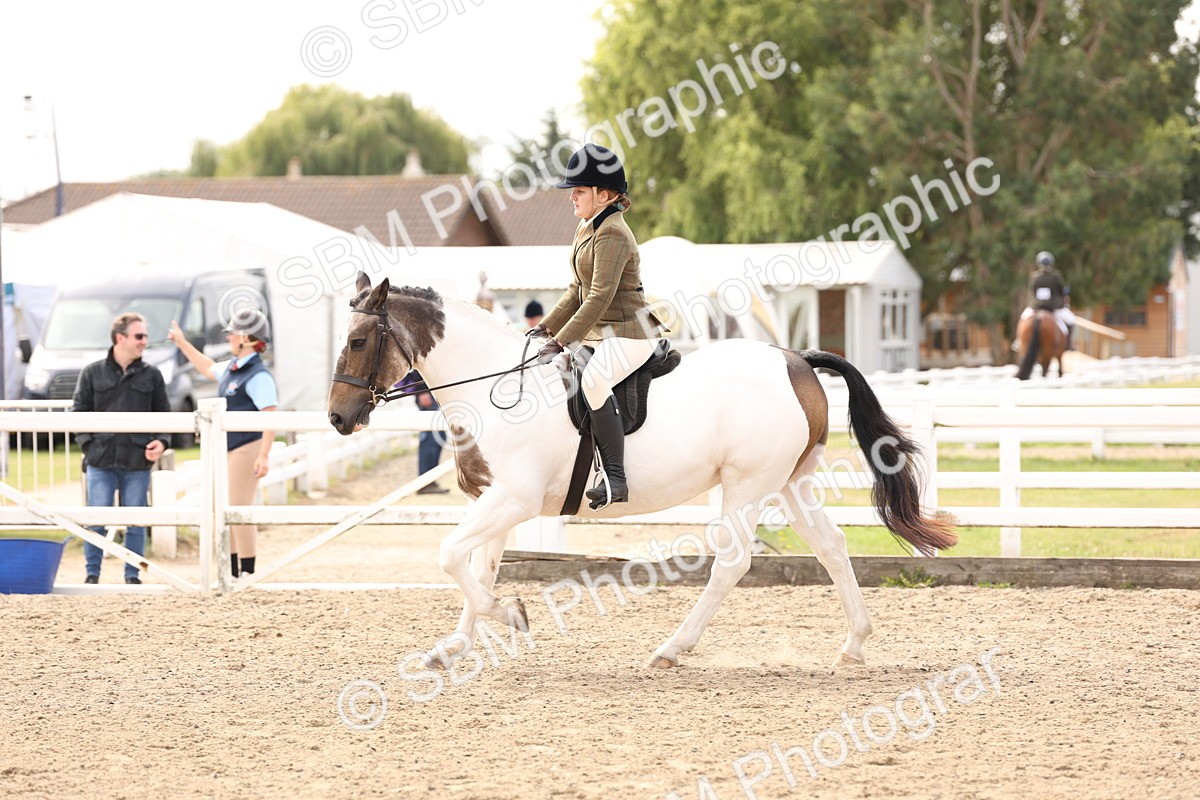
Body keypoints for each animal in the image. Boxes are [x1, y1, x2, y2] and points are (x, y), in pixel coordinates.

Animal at [328, 272, 957, 670]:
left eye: (357, 341)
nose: (337, 418)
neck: (496, 385)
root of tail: (796, 358)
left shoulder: (513, 499)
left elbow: (451, 557)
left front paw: (512, 614)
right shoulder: (494, 500)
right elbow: (474, 567)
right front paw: (453, 648)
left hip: (748, 484)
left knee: (733, 563)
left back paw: (672, 649)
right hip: (789, 484)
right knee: (832, 546)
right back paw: (854, 645)